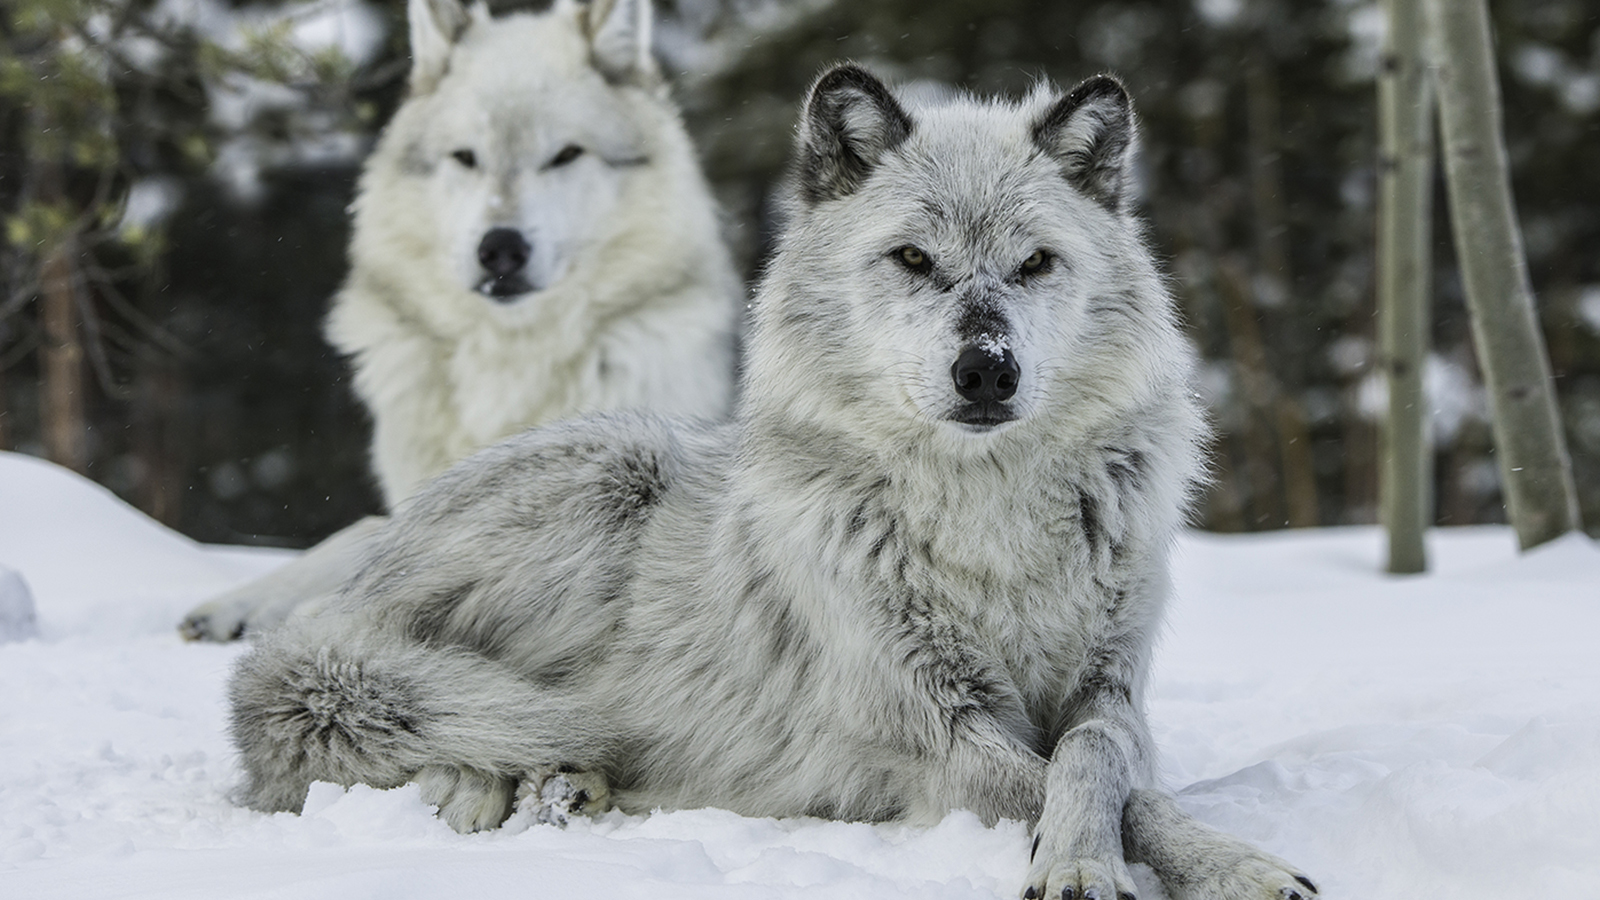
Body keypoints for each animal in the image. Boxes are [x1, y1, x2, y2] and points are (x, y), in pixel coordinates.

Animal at [179, 0, 740, 641]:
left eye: (565, 155)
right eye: (466, 158)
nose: (500, 249)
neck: (509, 366)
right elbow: (362, 532)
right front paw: (243, 601)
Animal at [227, 64, 1319, 900]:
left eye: (1034, 263)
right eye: (913, 258)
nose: (986, 370)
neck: (985, 519)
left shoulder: (1111, 691)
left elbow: (1104, 769)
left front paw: (1216, 864)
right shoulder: (929, 730)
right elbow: (1083, 790)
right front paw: (1102, 868)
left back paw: (570, 787)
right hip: (609, 475)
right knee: (377, 716)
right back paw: (495, 784)